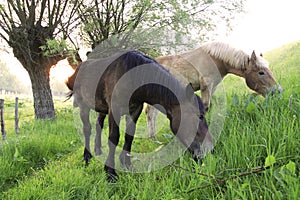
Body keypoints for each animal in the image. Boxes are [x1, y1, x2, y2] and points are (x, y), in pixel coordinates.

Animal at [145, 41, 282, 139]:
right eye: (261, 72)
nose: (277, 90)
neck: (215, 59)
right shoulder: (206, 85)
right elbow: (205, 106)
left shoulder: (213, 87)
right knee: (150, 113)